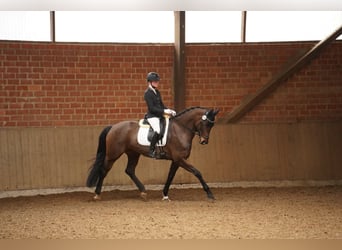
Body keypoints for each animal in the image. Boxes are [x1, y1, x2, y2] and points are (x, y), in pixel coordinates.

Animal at [85, 106, 219, 201]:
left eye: (212, 125)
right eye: (206, 123)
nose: (204, 141)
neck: (181, 129)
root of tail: (113, 126)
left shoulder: (176, 160)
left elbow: (170, 176)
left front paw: (165, 194)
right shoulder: (180, 159)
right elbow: (197, 172)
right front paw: (210, 194)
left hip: (133, 153)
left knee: (129, 170)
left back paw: (143, 192)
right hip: (113, 154)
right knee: (104, 170)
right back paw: (97, 194)